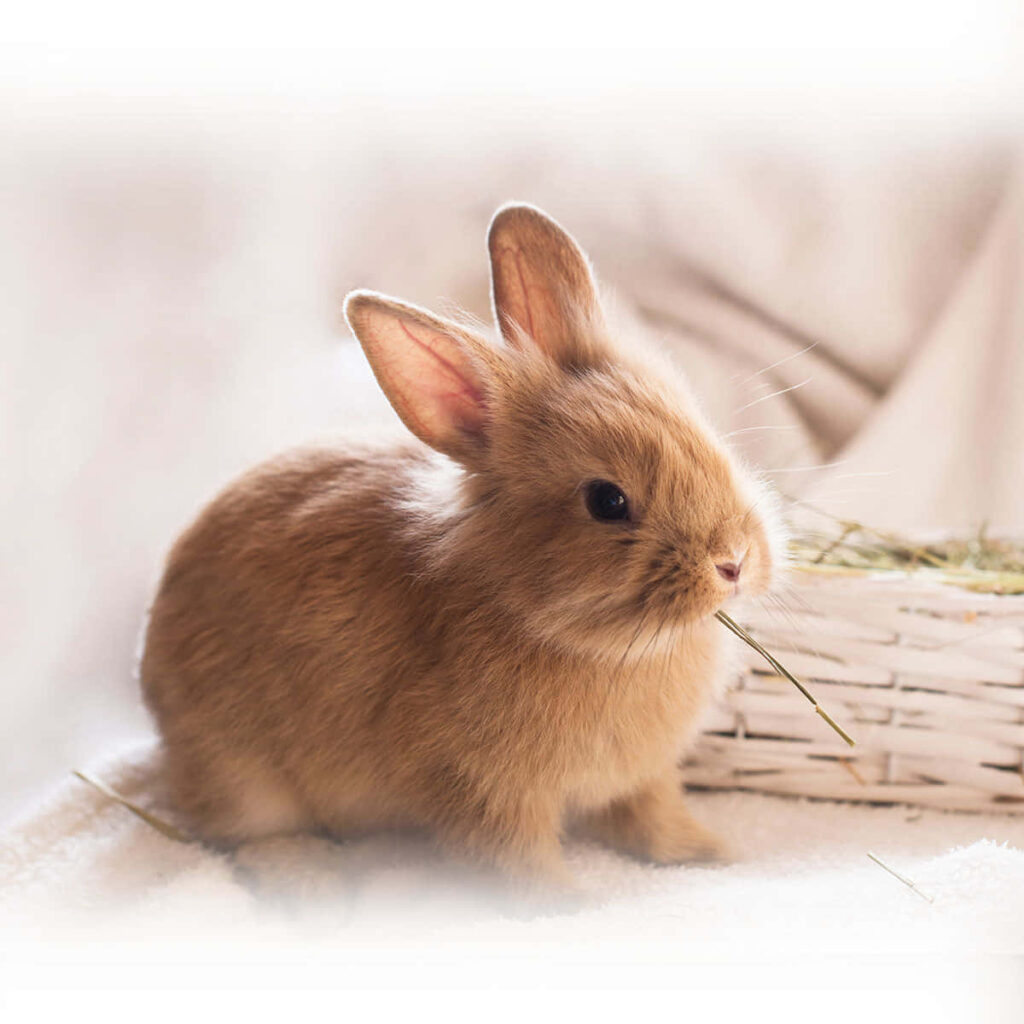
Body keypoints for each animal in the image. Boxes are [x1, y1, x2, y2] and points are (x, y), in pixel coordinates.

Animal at [139, 202, 784, 886]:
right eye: (606, 501)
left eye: (702, 430)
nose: (734, 561)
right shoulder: (484, 791)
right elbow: (515, 860)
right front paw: (571, 899)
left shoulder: (641, 780)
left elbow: (655, 821)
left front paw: (711, 855)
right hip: (245, 780)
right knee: (240, 838)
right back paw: (314, 875)